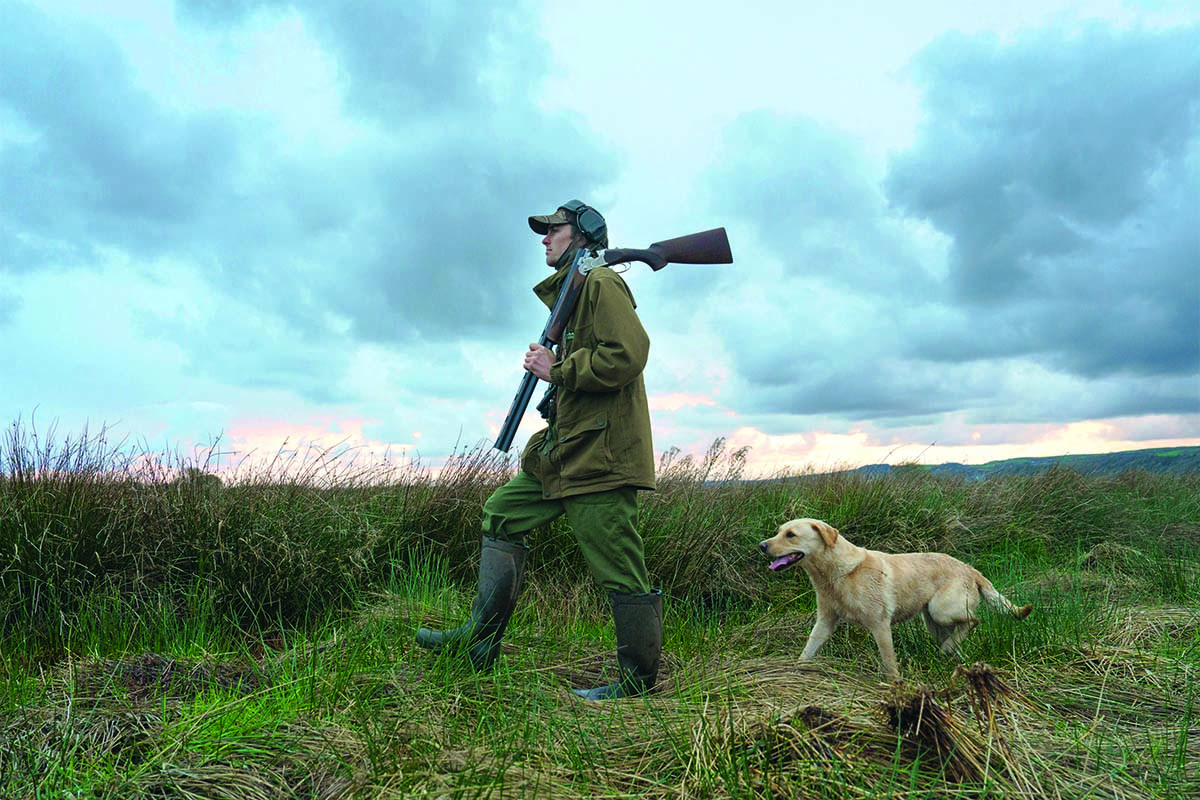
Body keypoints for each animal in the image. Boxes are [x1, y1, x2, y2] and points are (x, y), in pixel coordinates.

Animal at [758, 520, 1032, 681]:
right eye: (779, 532)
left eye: (791, 535)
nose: (761, 545)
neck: (836, 572)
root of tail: (970, 569)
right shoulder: (825, 622)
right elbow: (807, 652)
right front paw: (794, 672)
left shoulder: (880, 625)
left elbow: (889, 663)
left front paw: (894, 687)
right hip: (933, 623)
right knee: (958, 640)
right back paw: (955, 658)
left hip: (941, 610)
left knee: (974, 620)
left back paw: (949, 651)